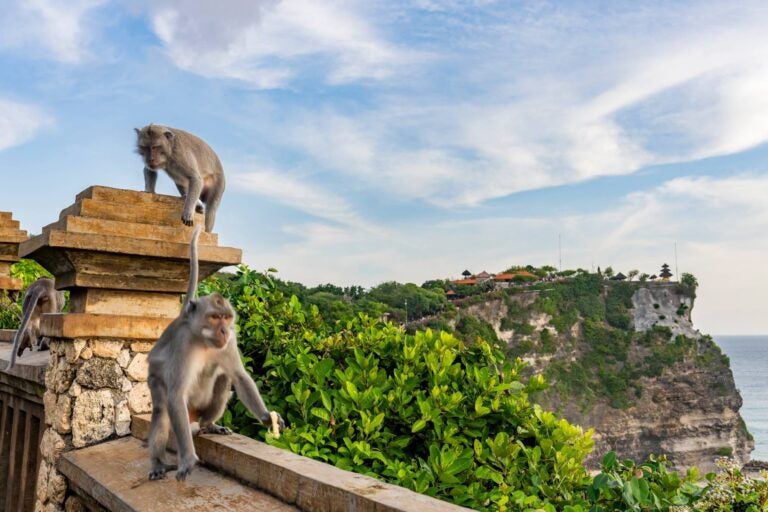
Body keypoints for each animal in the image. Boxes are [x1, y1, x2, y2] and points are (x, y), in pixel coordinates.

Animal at [147, 225, 284, 481]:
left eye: (227, 318)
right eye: (214, 316)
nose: (223, 330)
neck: (203, 339)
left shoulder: (230, 341)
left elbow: (239, 376)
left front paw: (266, 418)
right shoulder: (182, 343)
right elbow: (175, 395)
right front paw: (188, 459)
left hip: (202, 408)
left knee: (223, 379)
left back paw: (209, 425)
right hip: (164, 390)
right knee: (162, 411)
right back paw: (158, 463)